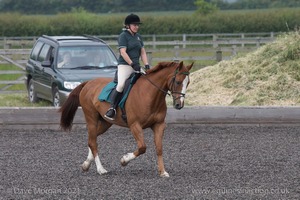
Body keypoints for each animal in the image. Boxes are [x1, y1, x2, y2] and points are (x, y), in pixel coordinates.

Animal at [59, 61, 193, 177]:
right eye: (177, 81)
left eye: (188, 83)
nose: (179, 105)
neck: (150, 94)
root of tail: (88, 83)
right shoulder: (135, 125)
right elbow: (142, 147)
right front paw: (124, 160)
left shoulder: (159, 125)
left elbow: (159, 148)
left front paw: (163, 172)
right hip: (91, 118)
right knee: (93, 142)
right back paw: (101, 169)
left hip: (106, 123)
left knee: (92, 139)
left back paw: (86, 165)